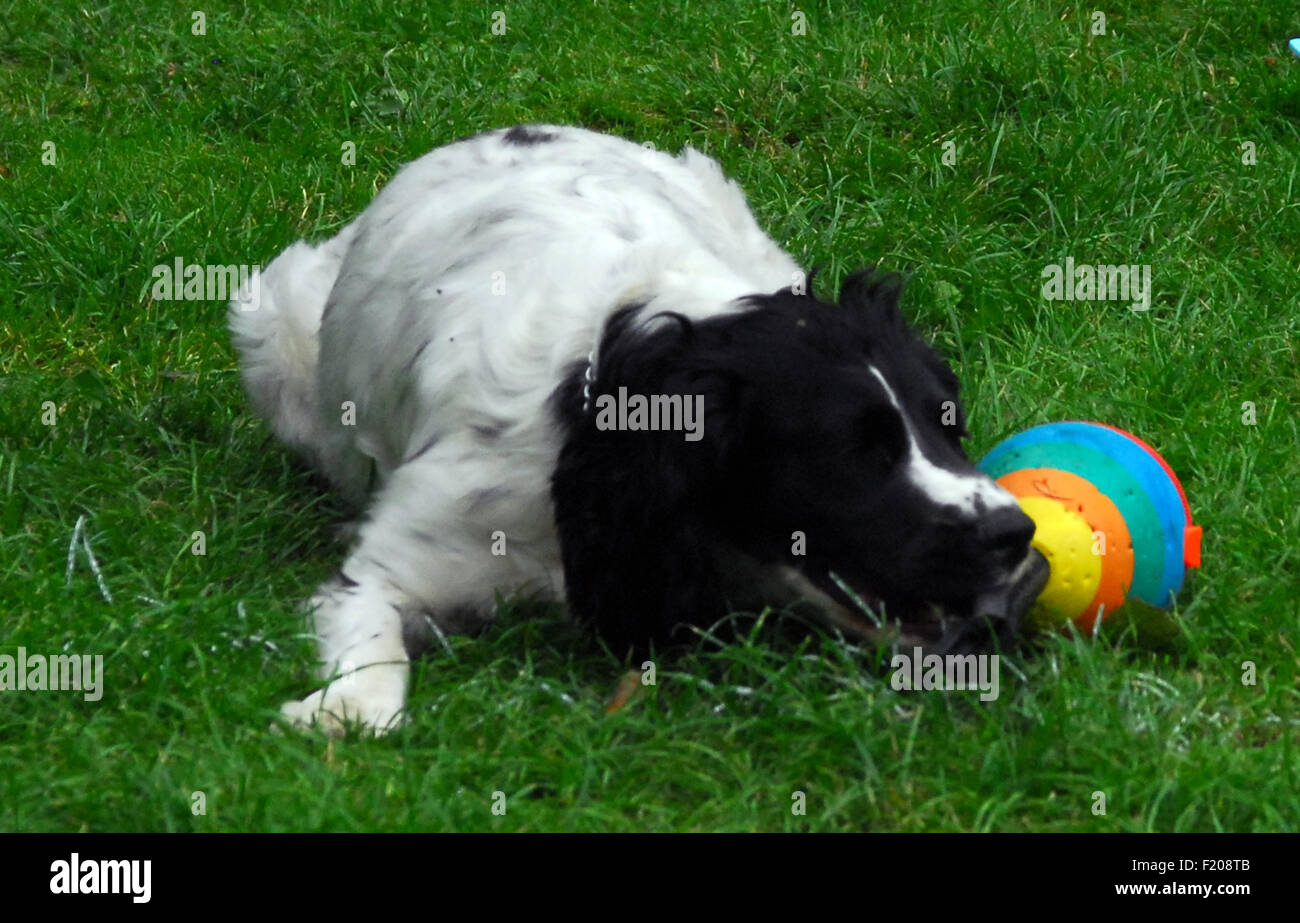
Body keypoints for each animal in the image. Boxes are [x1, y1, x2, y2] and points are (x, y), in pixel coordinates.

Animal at [231, 124, 1045, 738]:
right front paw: (344, 710)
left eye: (949, 425)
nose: (1016, 534)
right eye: (854, 453)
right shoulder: (395, 562)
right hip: (272, 324)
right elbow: (373, 647)